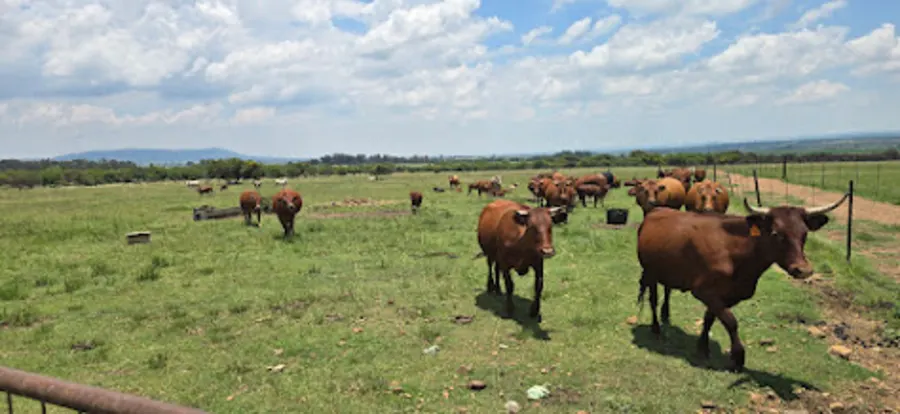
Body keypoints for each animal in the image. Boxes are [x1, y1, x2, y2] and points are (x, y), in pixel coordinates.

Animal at [636, 194, 849, 372]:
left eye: (804, 233)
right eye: (775, 233)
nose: (803, 270)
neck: (736, 251)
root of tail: (657, 210)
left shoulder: (727, 295)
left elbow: (710, 318)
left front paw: (703, 347)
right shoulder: (704, 291)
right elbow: (731, 321)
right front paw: (738, 357)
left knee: (667, 291)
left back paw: (666, 316)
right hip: (650, 272)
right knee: (653, 299)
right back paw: (656, 328)